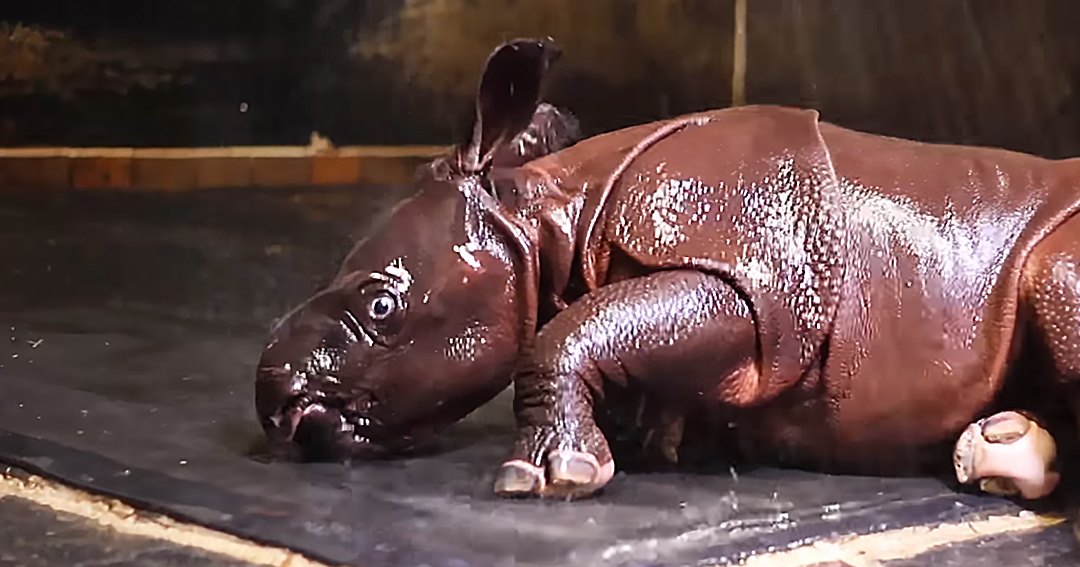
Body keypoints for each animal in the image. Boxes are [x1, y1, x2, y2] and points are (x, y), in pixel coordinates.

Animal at [255, 37, 1072, 502]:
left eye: (382, 308)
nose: (278, 404)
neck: (554, 215)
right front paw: (649, 436)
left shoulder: (752, 281)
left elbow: (564, 333)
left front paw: (554, 475)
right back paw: (1004, 450)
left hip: (1056, 255)